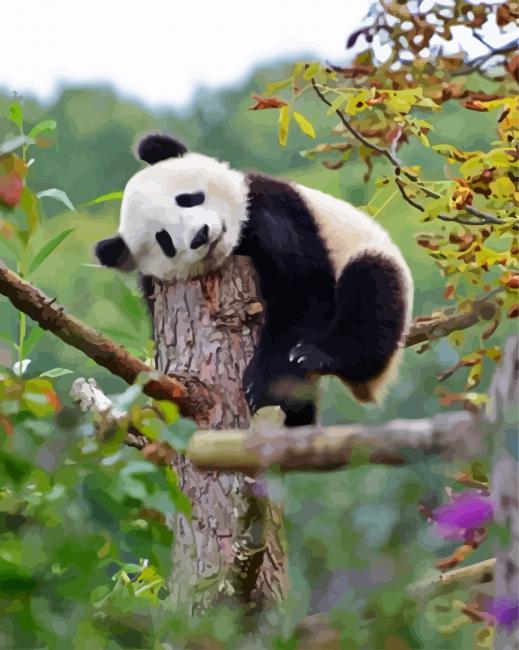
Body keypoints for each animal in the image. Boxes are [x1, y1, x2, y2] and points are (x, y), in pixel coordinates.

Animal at [95, 133, 413, 427]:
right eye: (164, 240)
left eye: (187, 199)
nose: (200, 235)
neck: (236, 243)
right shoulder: (153, 284)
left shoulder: (275, 207)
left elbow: (302, 289)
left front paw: (262, 382)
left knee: (371, 294)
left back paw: (318, 356)